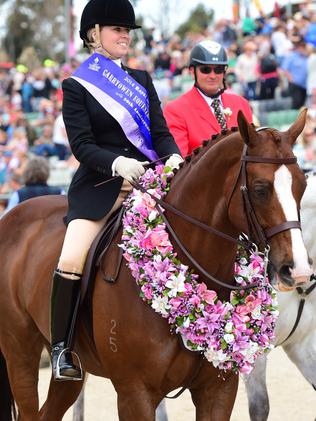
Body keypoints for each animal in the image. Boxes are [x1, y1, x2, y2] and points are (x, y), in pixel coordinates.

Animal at [0, 111, 312, 420]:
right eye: (260, 189)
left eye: (303, 184)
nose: (297, 271)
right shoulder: (135, 392)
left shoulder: (219, 390)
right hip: (20, 353)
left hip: (71, 375)